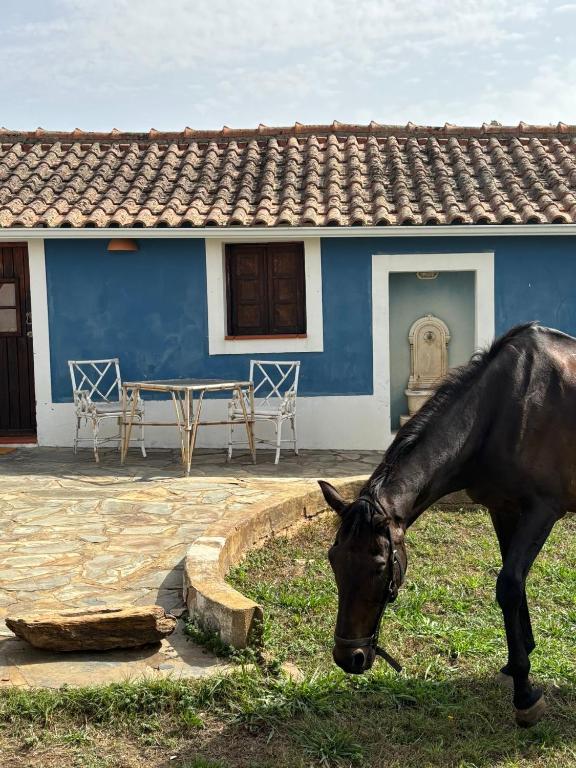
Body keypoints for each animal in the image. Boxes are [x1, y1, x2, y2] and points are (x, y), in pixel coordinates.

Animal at [319, 322, 576, 727]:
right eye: (334, 561)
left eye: (379, 567)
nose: (349, 658)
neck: (504, 409)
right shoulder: (504, 510)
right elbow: (516, 585)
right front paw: (519, 659)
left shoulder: (542, 511)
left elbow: (509, 586)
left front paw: (524, 693)